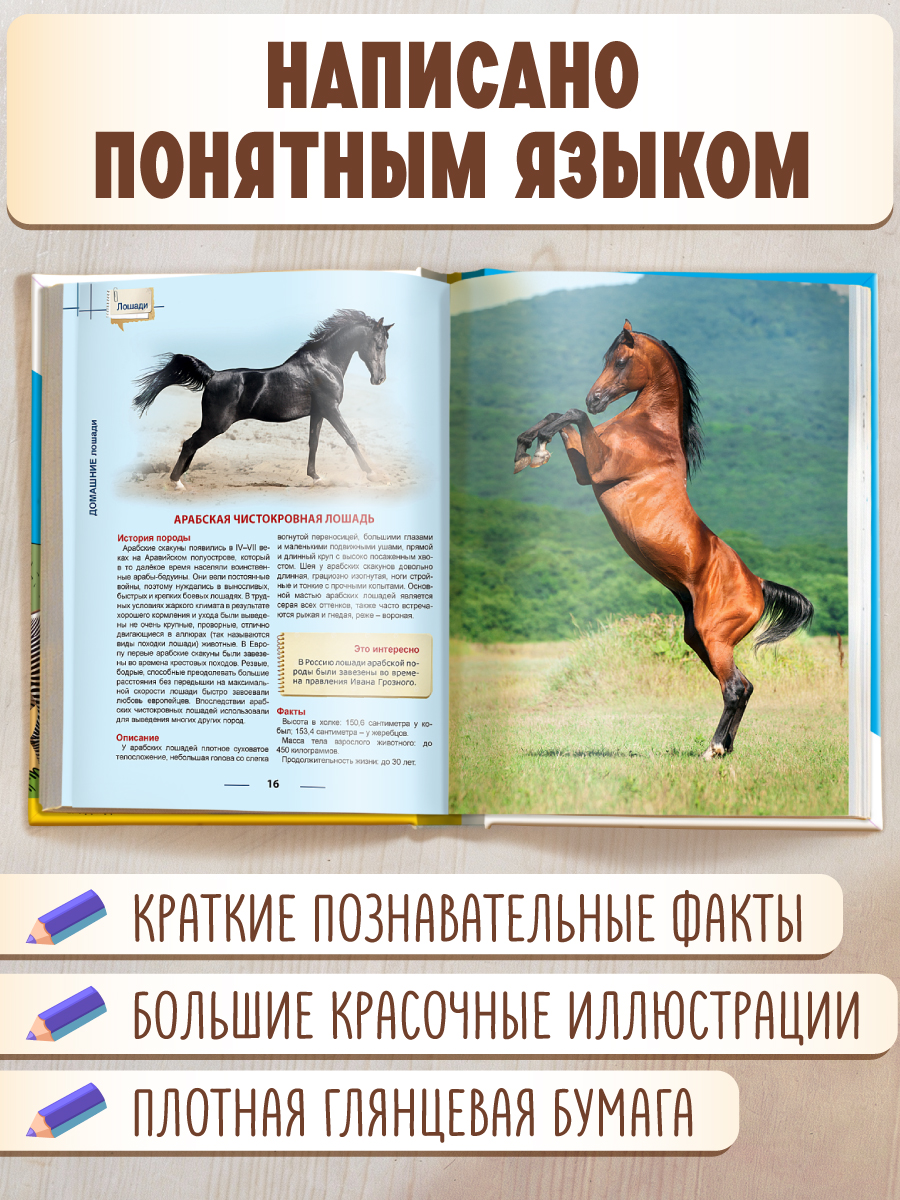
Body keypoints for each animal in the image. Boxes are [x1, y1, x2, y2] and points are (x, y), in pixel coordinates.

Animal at [132, 309, 393, 488]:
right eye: (379, 345)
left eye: (386, 346)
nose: (379, 379)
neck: (324, 364)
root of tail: (213, 375)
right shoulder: (331, 408)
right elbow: (351, 439)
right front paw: (373, 474)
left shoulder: (319, 412)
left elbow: (314, 443)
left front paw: (317, 477)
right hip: (215, 425)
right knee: (189, 444)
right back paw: (176, 483)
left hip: (211, 425)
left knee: (191, 445)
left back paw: (182, 478)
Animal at [513, 319, 814, 759]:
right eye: (606, 358)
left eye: (621, 360)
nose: (595, 398)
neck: (650, 430)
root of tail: (758, 584)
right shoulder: (587, 470)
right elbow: (562, 416)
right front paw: (529, 448)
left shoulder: (597, 469)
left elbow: (572, 415)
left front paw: (533, 449)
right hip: (700, 639)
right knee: (744, 686)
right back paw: (725, 748)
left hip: (715, 637)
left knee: (734, 687)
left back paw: (712, 750)